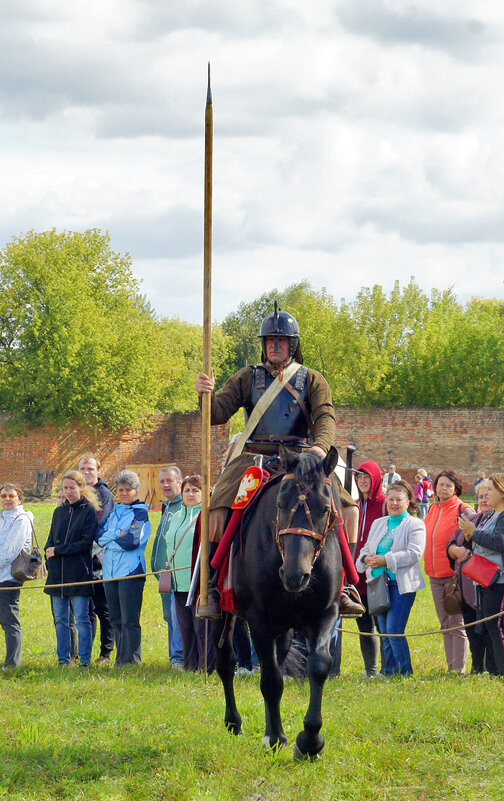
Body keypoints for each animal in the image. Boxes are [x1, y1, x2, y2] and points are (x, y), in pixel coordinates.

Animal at [213, 446, 342, 760]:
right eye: (281, 505)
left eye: (324, 508)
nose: (295, 575)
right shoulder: (258, 619)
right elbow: (271, 680)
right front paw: (277, 738)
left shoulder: (326, 613)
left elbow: (318, 665)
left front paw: (310, 741)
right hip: (224, 612)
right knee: (227, 662)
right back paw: (234, 722)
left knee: (277, 658)